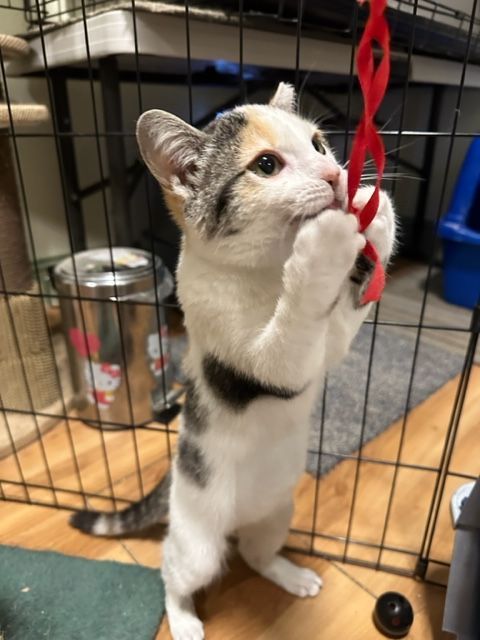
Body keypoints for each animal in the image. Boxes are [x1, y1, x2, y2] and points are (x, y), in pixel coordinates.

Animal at [70, 85, 394, 640]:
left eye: (318, 144)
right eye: (266, 165)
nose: (334, 176)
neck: (268, 271)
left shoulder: (326, 347)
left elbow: (337, 331)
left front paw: (376, 217)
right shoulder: (258, 356)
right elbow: (291, 336)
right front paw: (324, 247)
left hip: (278, 510)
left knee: (256, 552)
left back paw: (288, 573)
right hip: (197, 542)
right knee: (174, 570)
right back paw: (183, 618)